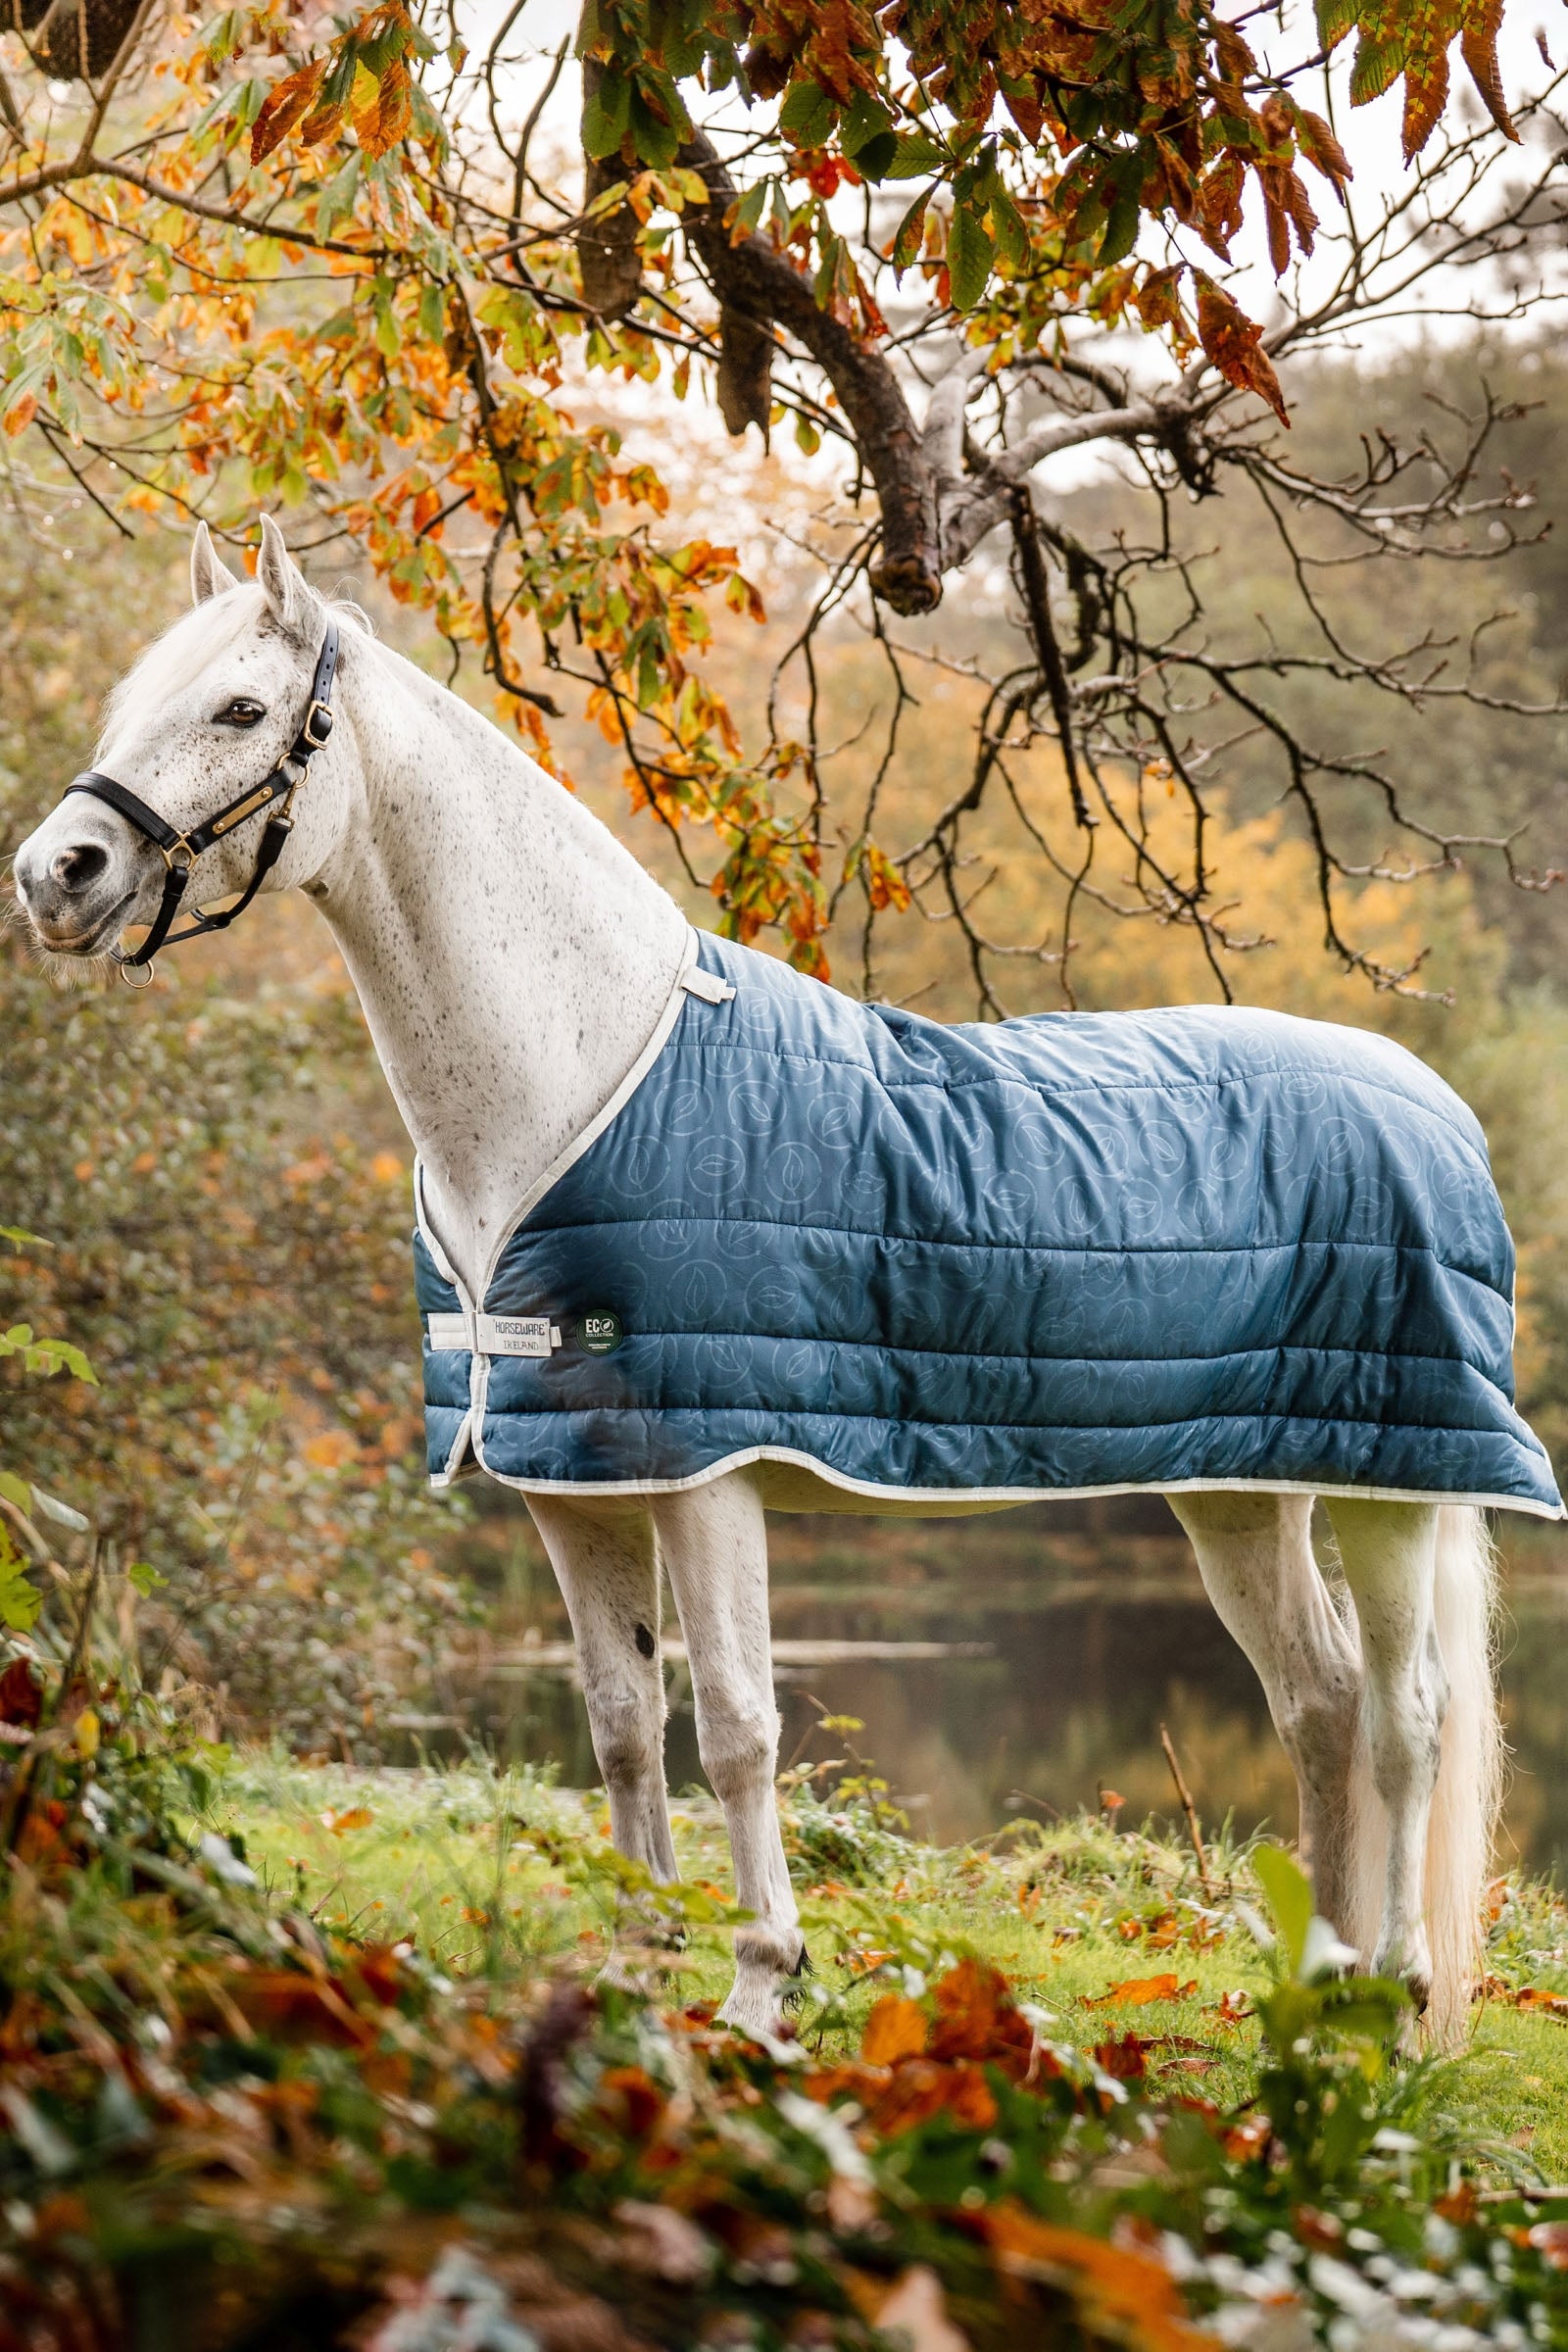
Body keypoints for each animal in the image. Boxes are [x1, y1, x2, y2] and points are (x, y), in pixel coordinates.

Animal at [14, 516, 1557, 2047]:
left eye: (241, 711)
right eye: (129, 702)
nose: (55, 874)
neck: (579, 1074)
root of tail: (1435, 1103)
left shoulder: (708, 1473)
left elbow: (739, 1731)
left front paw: (762, 1987)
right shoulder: (574, 1484)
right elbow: (621, 1729)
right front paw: (638, 1967)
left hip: (1395, 1484)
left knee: (1407, 1716)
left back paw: (1401, 2003)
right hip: (1244, 1485)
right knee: (1321, 1700)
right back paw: (1318, 1996)